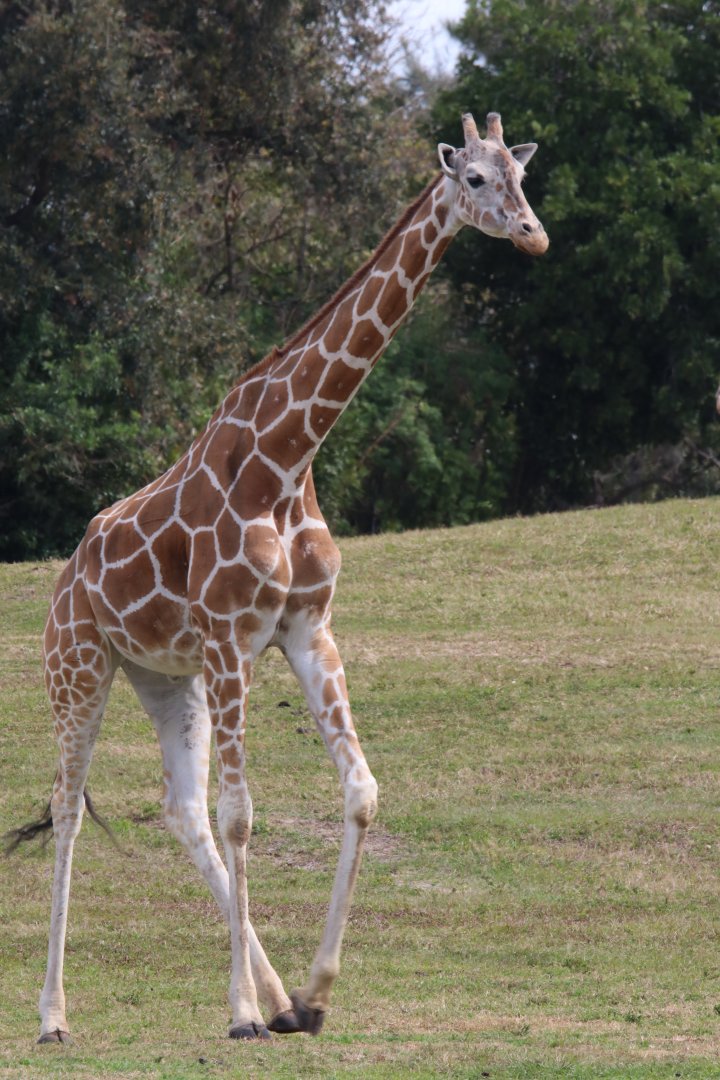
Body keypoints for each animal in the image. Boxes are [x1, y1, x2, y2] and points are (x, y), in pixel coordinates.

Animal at [26, 111, 548, 1044]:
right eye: (476, 180)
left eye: (523, 176)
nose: (533, 235)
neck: (288, 456)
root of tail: (62, 582)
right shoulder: (236, 639)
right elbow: (244, 815)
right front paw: (238, 1011)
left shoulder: (306, 631)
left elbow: (361, 791)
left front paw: (311, 996)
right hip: (80, 669)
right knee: (71, 811)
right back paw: (56, 1016)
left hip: (166, 676)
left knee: (181, 810)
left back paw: (269, 997)